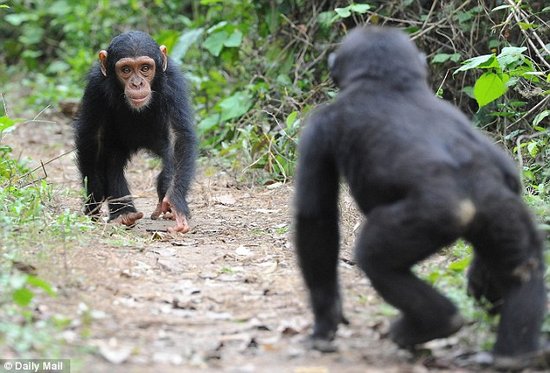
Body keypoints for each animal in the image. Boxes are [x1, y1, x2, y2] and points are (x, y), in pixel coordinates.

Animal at [74, 31, 197, 232]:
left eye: (145, 68)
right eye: (126, 70)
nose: (137, 83)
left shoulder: (173, 82)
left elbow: (178, 136)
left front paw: (175, 202)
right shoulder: (95, 87)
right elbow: (92, 138)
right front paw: (94, 200)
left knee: (169, 159)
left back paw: (164, 207)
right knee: (112, 163)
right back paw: (125, 214)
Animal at [296, 26, 544, 366]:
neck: (389, 81)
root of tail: (472, 199)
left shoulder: (318, 128)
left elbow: (315, 218)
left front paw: (325, 322)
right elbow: (510, 173)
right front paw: (480, 278)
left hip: (428, 218)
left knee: (375, 258)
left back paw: (431, 325)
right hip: (503, 213)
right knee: (523, 266)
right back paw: (514, 354)